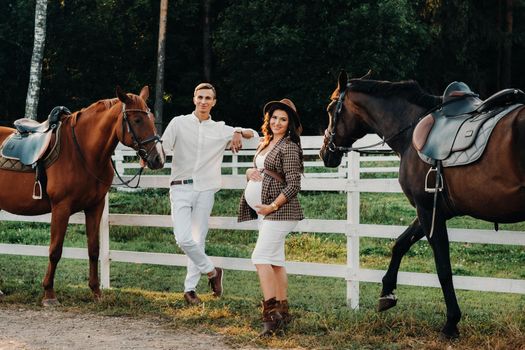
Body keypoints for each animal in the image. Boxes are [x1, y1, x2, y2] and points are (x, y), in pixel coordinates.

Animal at [0, 86, 164, 304]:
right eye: (137, 120)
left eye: (151, 118)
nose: (158, 159)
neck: (83, 152)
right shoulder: (61, 208)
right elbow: (55, 250)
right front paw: (49, 293)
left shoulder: (95, 206)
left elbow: (94, 249)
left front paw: (96, 291)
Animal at [318, 72, 524, 340]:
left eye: (331, 109)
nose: (325, 153)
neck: (411, 131)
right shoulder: (430, 211)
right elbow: (400, 244)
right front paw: (387, 293)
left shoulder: (427, 211)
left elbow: (443, 268)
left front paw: (451, 323)